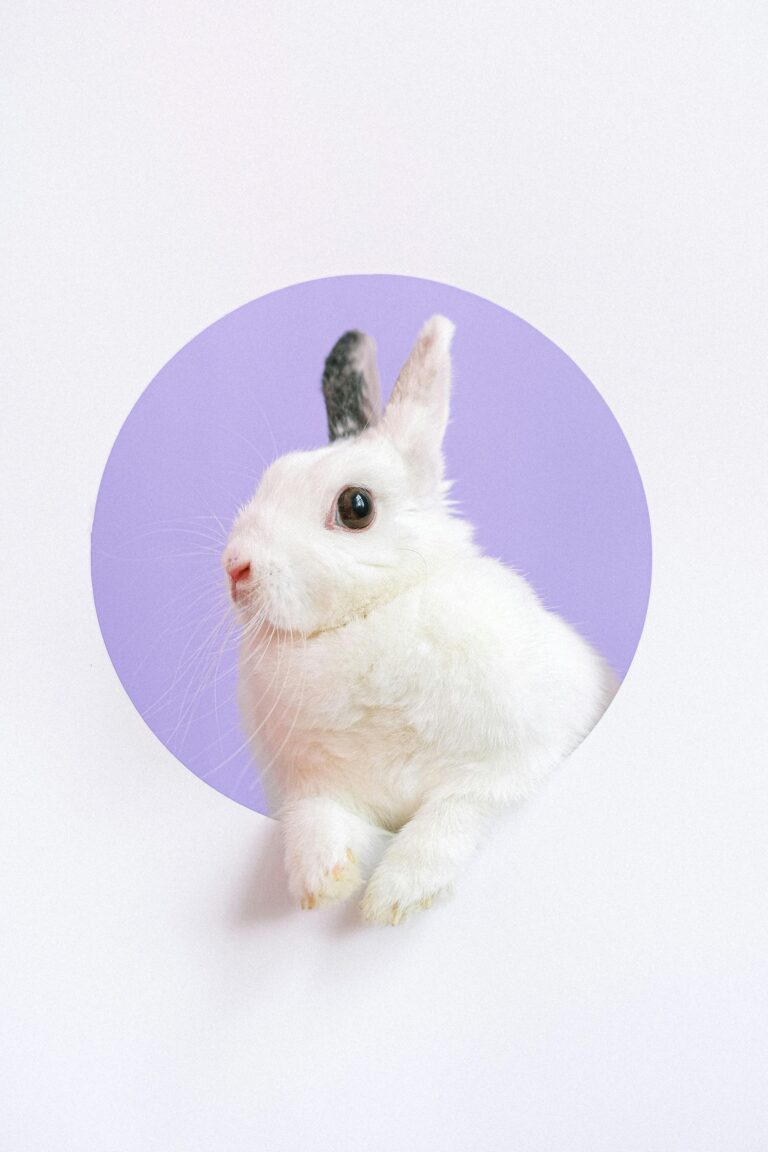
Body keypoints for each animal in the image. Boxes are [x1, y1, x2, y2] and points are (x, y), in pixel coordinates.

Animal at [222, 315, 618, 925]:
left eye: (356, 507)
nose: (235, 567)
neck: (371, 616)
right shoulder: (311, 788)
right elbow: (316, 821)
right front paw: (321, 883)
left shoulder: (512, 766)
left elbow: (451, 817)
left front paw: (395, 896)